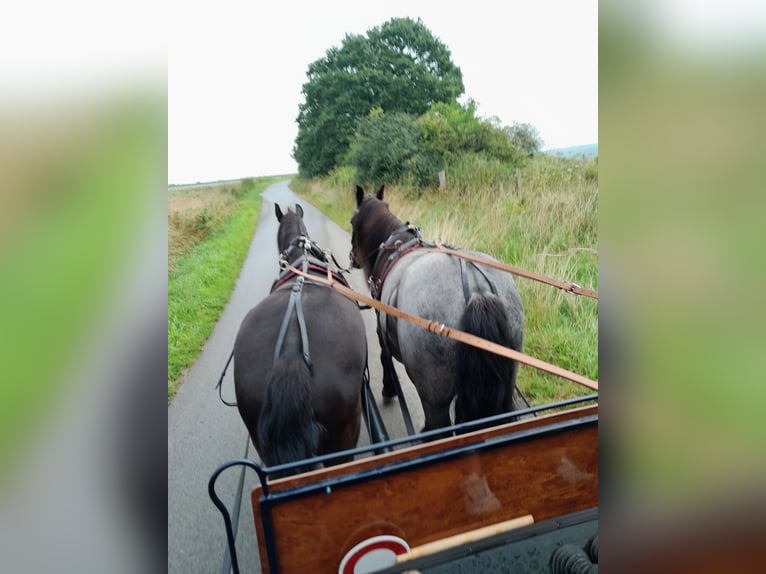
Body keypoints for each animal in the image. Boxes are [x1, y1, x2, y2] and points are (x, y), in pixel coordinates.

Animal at [350, 185, 526, 431]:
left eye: (351, 221)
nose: (352, 257)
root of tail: (476, 289)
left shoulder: (380, 328)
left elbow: (385, 358)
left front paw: (388, 389)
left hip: (434, 397)